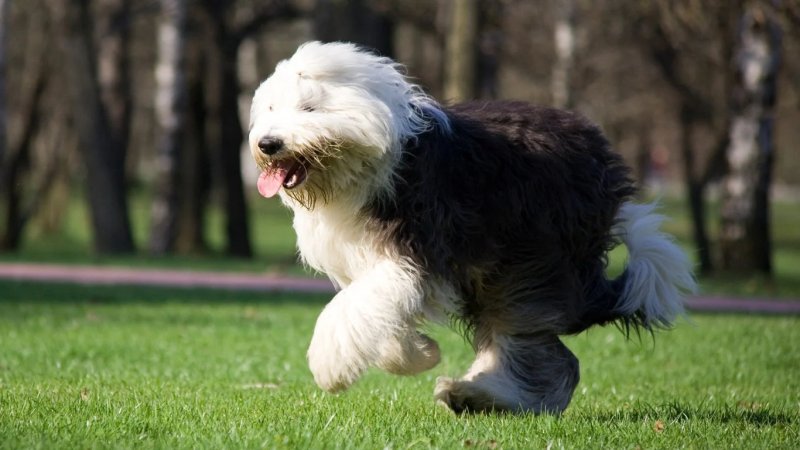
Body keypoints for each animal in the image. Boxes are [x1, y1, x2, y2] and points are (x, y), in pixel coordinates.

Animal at [247, 42, 696, 414]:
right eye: (270, 110)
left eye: (309, 109)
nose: (267, 144)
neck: (373, 163)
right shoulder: (372, 262)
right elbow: (373, 311)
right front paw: (418, 353)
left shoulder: (413, 252)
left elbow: (352, 308)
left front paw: (331, 367)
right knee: (546, 355)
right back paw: (476, 396)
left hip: (532, 259)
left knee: (539, 349)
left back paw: (478, 395)